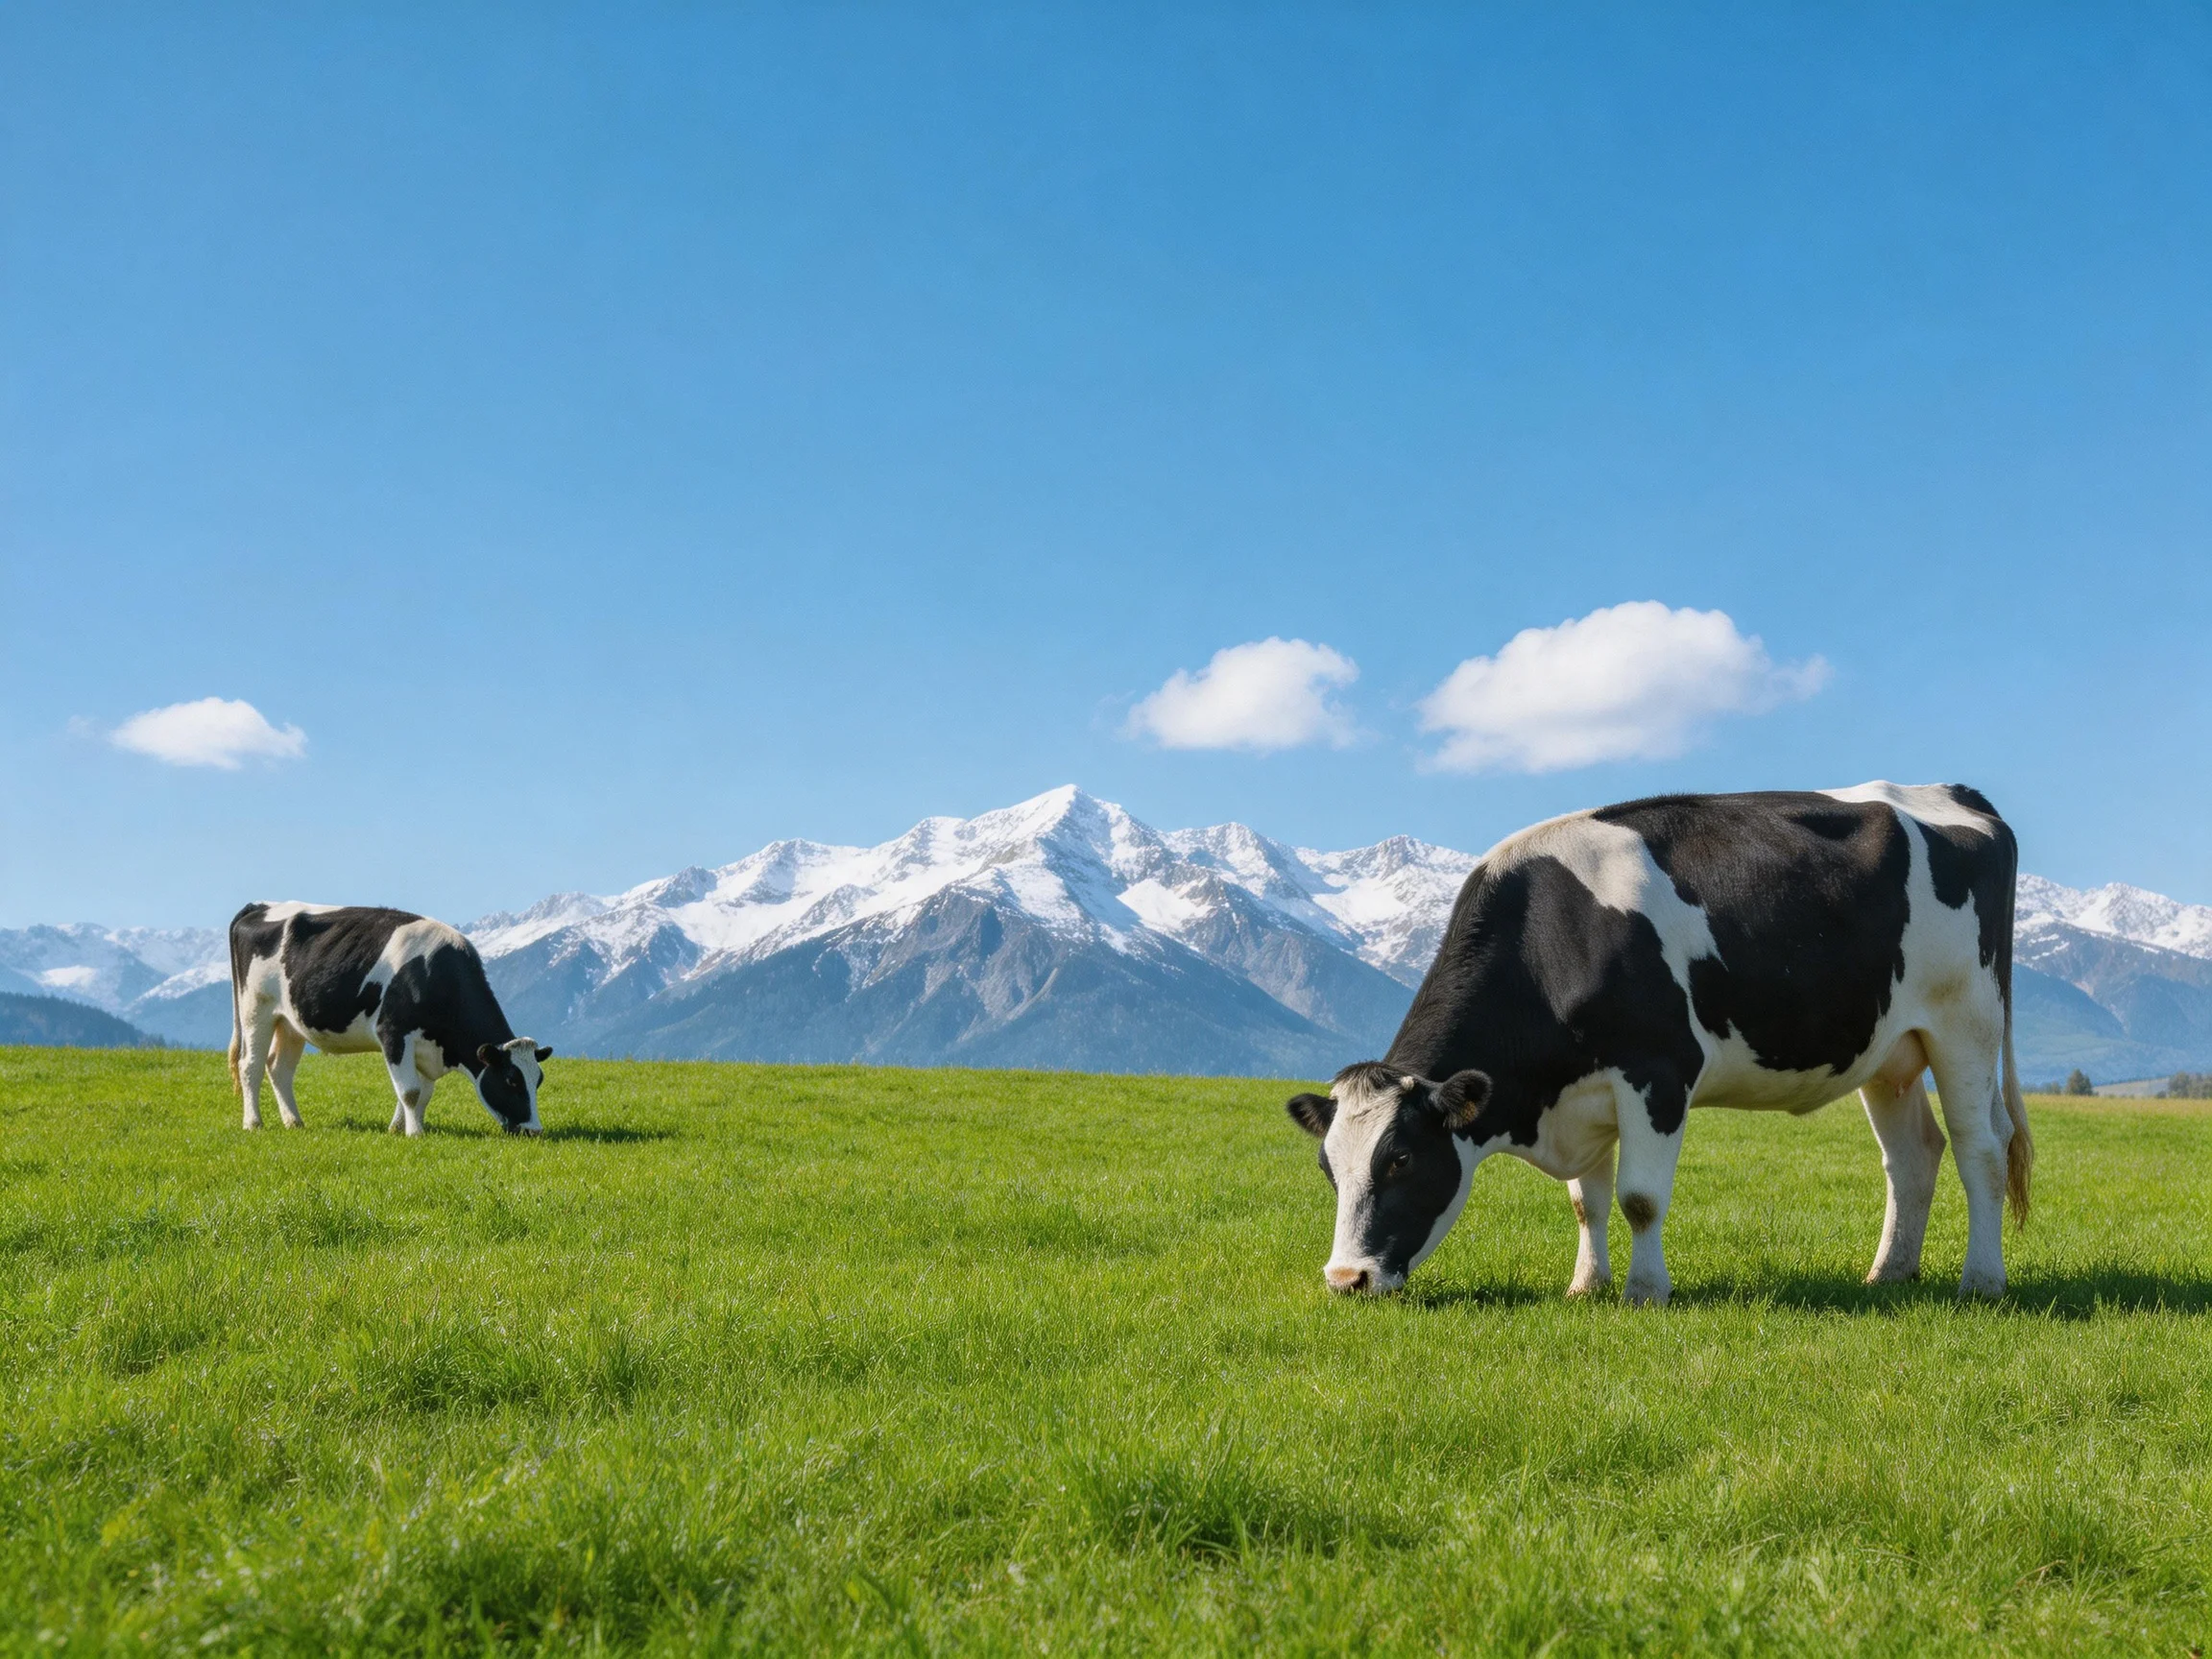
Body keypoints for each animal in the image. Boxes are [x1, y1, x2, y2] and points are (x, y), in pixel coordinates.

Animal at [227, 903, 551, 1137]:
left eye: (538, 1080)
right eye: (511, 1080)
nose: (534, 1131)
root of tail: (260, 906)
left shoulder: (424, 1046)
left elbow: (422, 1092)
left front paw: (399, 1128)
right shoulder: (393, 1032)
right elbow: (410, 1091)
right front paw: (415, 1133)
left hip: (290, 1022)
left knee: (279, 1068)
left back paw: (294, 1122)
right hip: (256, 1010)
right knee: (250, 1065)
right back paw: (253, 1123)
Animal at [1287, 783, 2032, 1304]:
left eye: (1402, 1159)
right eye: (1328, 1168)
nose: (1346, 1279)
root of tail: (1958, 794)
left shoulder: (1658, 1073)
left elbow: (1639, 1198)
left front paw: (1645, 1292)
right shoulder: (1584, 1094)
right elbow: (1587, 1202)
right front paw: (1586, 1285)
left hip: (1965, 1024)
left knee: (1983, 1150)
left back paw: (1981, 1281)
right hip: (1890, 1051)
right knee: (1914, 1156)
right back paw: (1889, 1274)